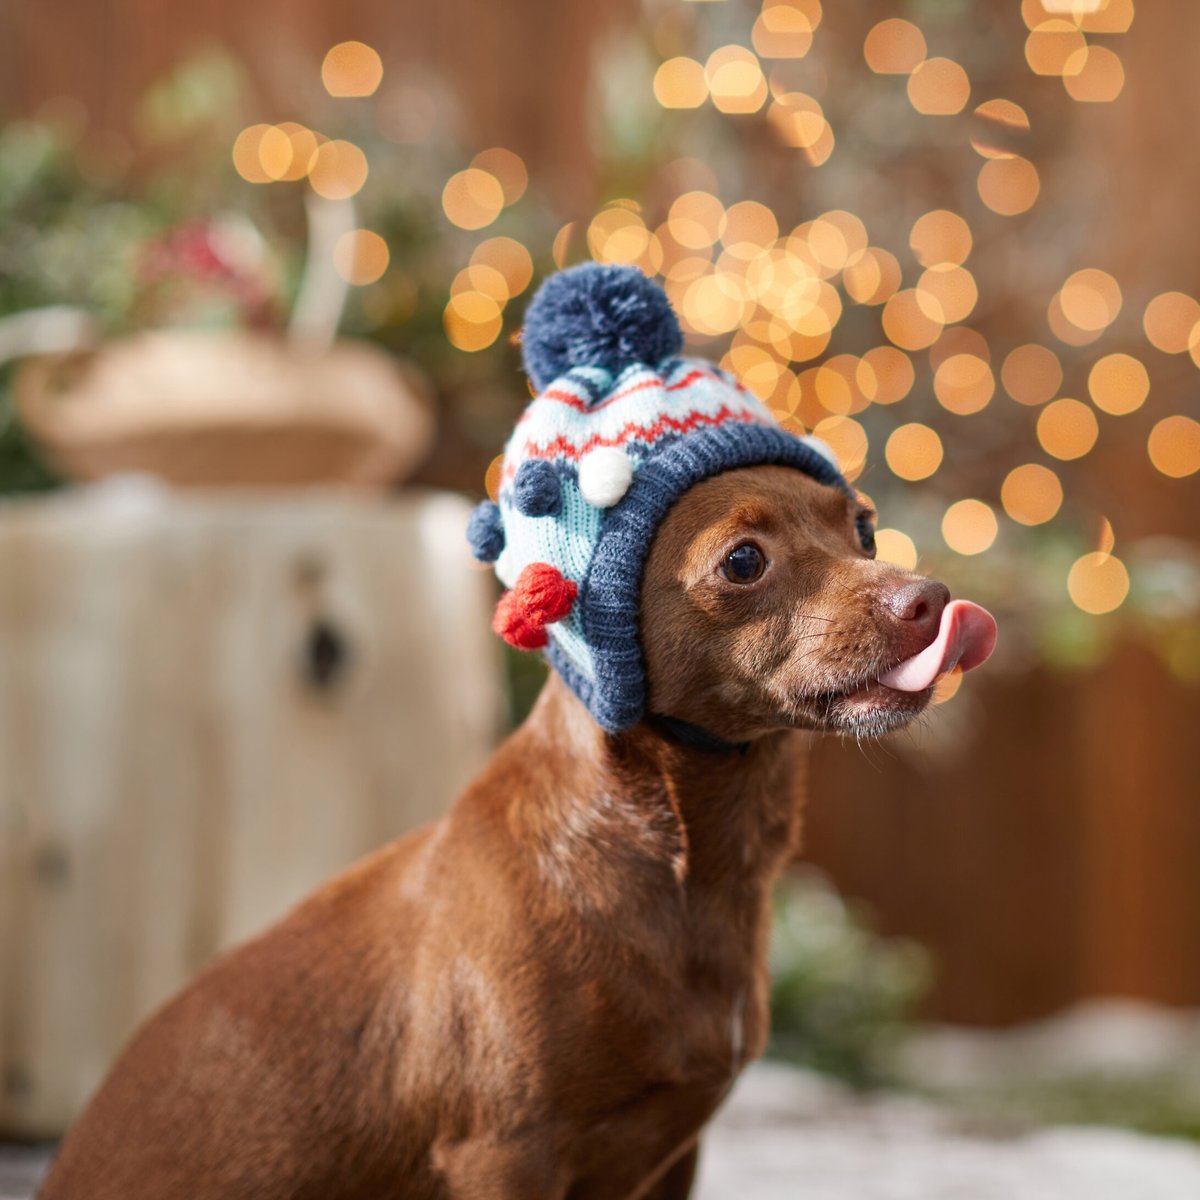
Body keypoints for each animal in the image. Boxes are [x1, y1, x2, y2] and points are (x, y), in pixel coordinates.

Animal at [42, 460, 988, 1200]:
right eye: (744, 561)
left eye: (861, 527)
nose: (932, 598)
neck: (675, 856)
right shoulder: (504, 1156)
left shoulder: (671, 1155)